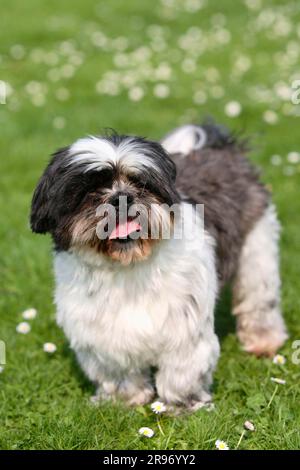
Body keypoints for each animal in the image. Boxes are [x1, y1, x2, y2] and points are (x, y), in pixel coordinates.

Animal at [30, 122, 288, 412]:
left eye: (140, 183)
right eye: (90, 191)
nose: (121, 197)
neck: (128, 266)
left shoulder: (184, 326)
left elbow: (182, 370)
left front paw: (182, 405)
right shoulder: (101, 334)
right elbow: (118, 371)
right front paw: (123, 400)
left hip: (257, 249)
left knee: (258, 300)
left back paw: (263, 341)